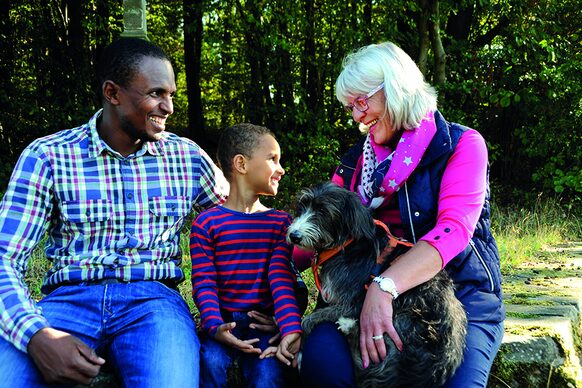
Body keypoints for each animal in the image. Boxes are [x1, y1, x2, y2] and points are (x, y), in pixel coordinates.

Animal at [288, 183, 470, 386]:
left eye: (323, 211)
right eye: (303, 206)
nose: (294, 236)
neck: (346, 244)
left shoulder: (354, 304)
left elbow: (308, 320)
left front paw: (300, 352)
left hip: (402, 320)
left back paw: (348, 326)